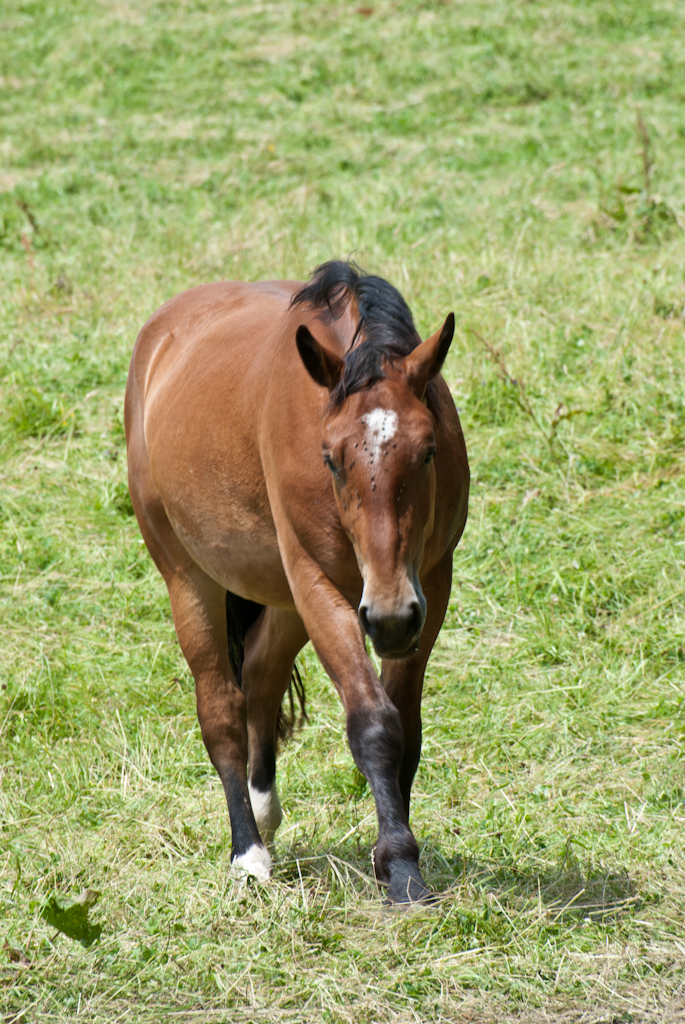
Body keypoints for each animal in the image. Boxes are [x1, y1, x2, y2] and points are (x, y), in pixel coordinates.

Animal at [125, 264, 471, 905]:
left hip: (283, 596)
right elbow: (374, 724)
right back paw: (248, 851)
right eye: (331, 458)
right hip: (190, 578)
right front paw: (401, 868)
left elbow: (407, 730)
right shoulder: (319, 583)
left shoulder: (430, 585)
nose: (389, 616)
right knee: (222, 710)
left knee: (261, 676)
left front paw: (396, 854)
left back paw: (264, 811)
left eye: (429, 451)